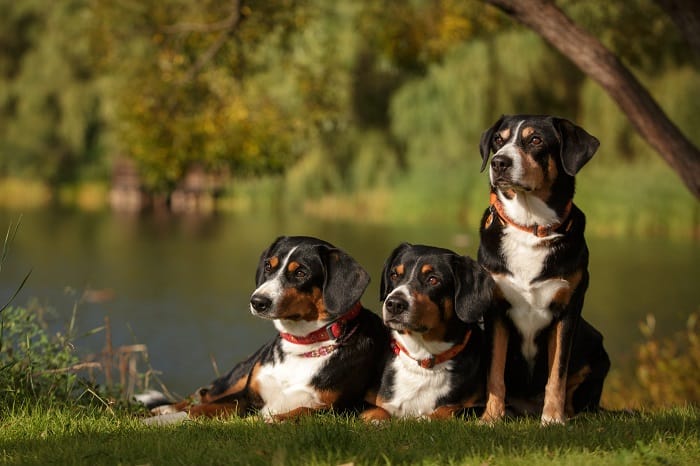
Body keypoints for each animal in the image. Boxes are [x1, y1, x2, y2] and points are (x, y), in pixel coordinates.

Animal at [148, 235, 388, 420]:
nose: (257, 301)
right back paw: (164, 408)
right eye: (268, 267)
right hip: (239, 374)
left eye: (300, 273)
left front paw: (278, 419)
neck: (302, 344)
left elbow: (303, 410)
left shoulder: (341, 408)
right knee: (204, 394)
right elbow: (203, 407)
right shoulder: (246, 396)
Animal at [360, 242, 492, 420]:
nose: (394, 304)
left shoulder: (482, 406)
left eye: (433, 280)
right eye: (394, 275)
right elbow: (376, 408)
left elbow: (450, 409)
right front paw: (377, 419)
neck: (423, 358)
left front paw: (429, 417)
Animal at [478, 114, 608, 424]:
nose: (499, 162)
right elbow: (495, 371)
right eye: (498, 140)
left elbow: (557, 374)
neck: (530, 227)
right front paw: (491, 417)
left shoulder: (567, 312)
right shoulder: (495, 310)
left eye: (535, 140)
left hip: (595, 343)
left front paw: (553, 418)